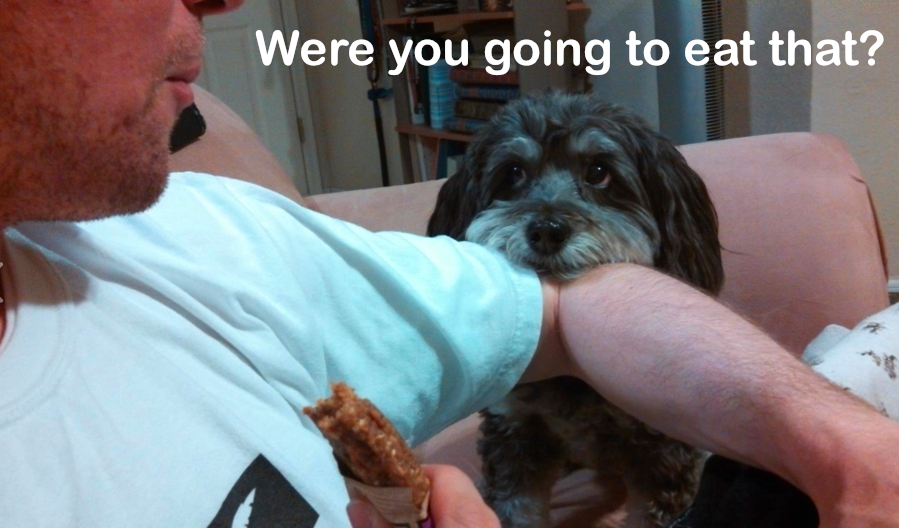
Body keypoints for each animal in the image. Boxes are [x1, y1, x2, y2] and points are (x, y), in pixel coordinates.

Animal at [427, 92, 724, 528]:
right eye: (513, 173)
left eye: (599, 172)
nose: (546, 231)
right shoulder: (516, 432)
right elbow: (517, 509)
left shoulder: (664, 455)